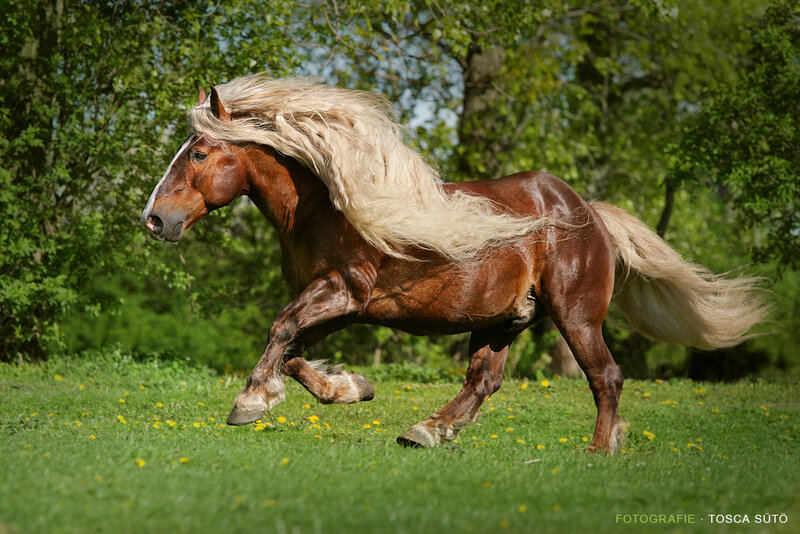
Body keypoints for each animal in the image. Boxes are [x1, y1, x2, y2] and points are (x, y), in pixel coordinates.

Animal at [140, 74, 767, 453]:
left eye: (200, 153)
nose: (154, 220)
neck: (324, 206)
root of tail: (588, 213)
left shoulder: (343, 291)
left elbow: (280, 330)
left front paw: (249, 402)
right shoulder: (341, 305)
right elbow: (292, 350)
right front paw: (351, 387)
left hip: (575, 314)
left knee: (605, 375)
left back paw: (597, 451)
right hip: (502, 320)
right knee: (484, 380)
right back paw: (427, 430)